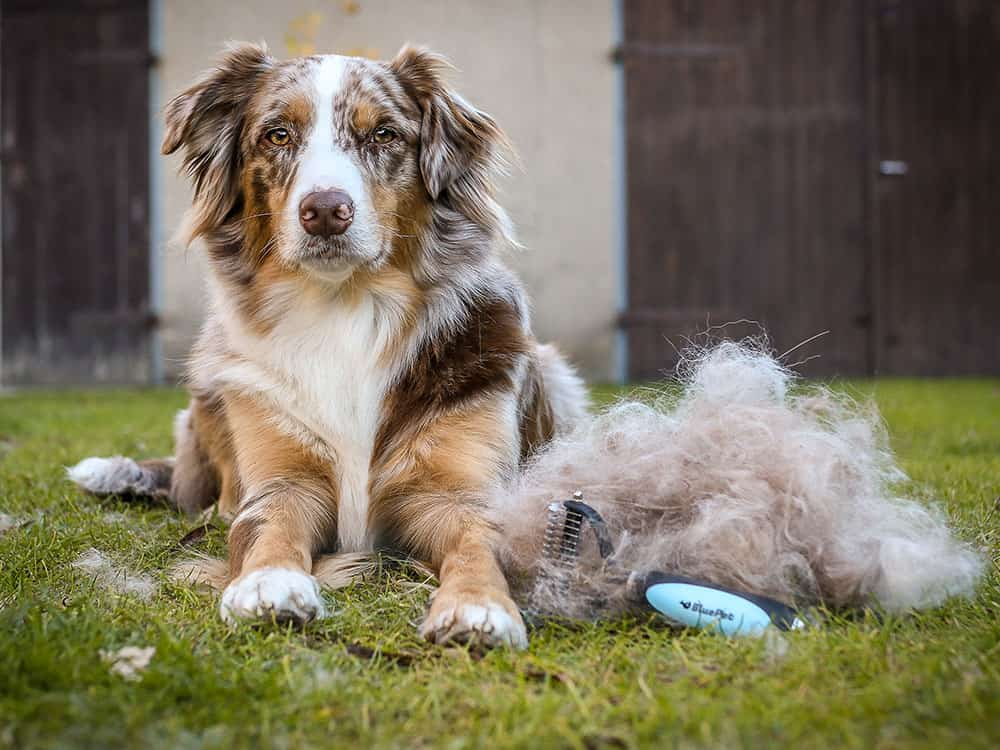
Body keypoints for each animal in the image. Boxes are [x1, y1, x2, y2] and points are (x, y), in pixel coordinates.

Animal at [70, 44, 588, 648]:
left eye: (384, 134)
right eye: (277, 135)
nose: (324, 211)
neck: (345, 311)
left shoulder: (457, 492)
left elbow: (479, 544)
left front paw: (479, 606)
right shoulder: (281, 480)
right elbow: (266, 528)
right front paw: (269, 584)